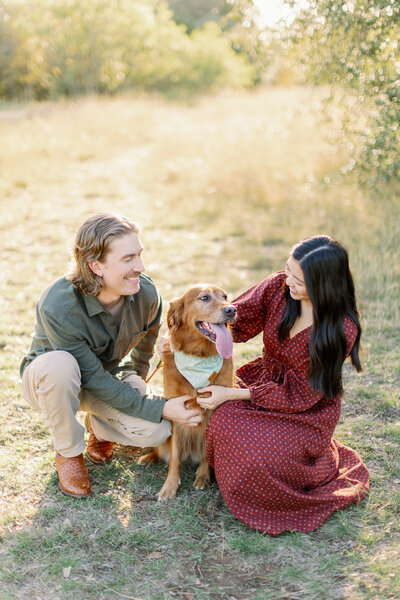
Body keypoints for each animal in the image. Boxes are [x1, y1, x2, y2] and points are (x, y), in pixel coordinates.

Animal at [139, 284, 236, 500]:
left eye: (225, 296)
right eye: (205, 297)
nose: (232, 310)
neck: (199, 355)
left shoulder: (213, 409)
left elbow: (206, 451)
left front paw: (203, 477)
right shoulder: (176, 412)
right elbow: (174, 456)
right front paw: (169, 486)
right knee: (163, 451)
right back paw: (148, 457)